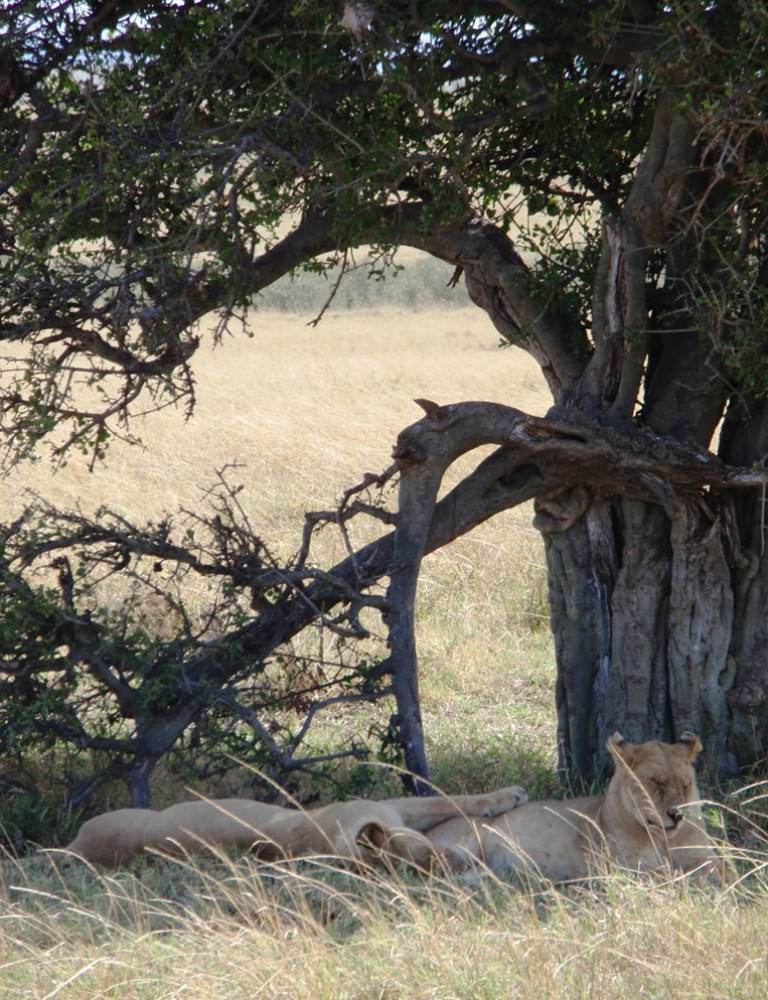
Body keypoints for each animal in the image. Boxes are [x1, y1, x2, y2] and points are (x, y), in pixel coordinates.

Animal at [426, 732, 732, 880]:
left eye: (685, 785)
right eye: (654, 783)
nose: (677, 814)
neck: (664, 840)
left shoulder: (705, 857)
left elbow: (725, 872)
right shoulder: (625, 869)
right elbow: (666, 875)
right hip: (467, 840)